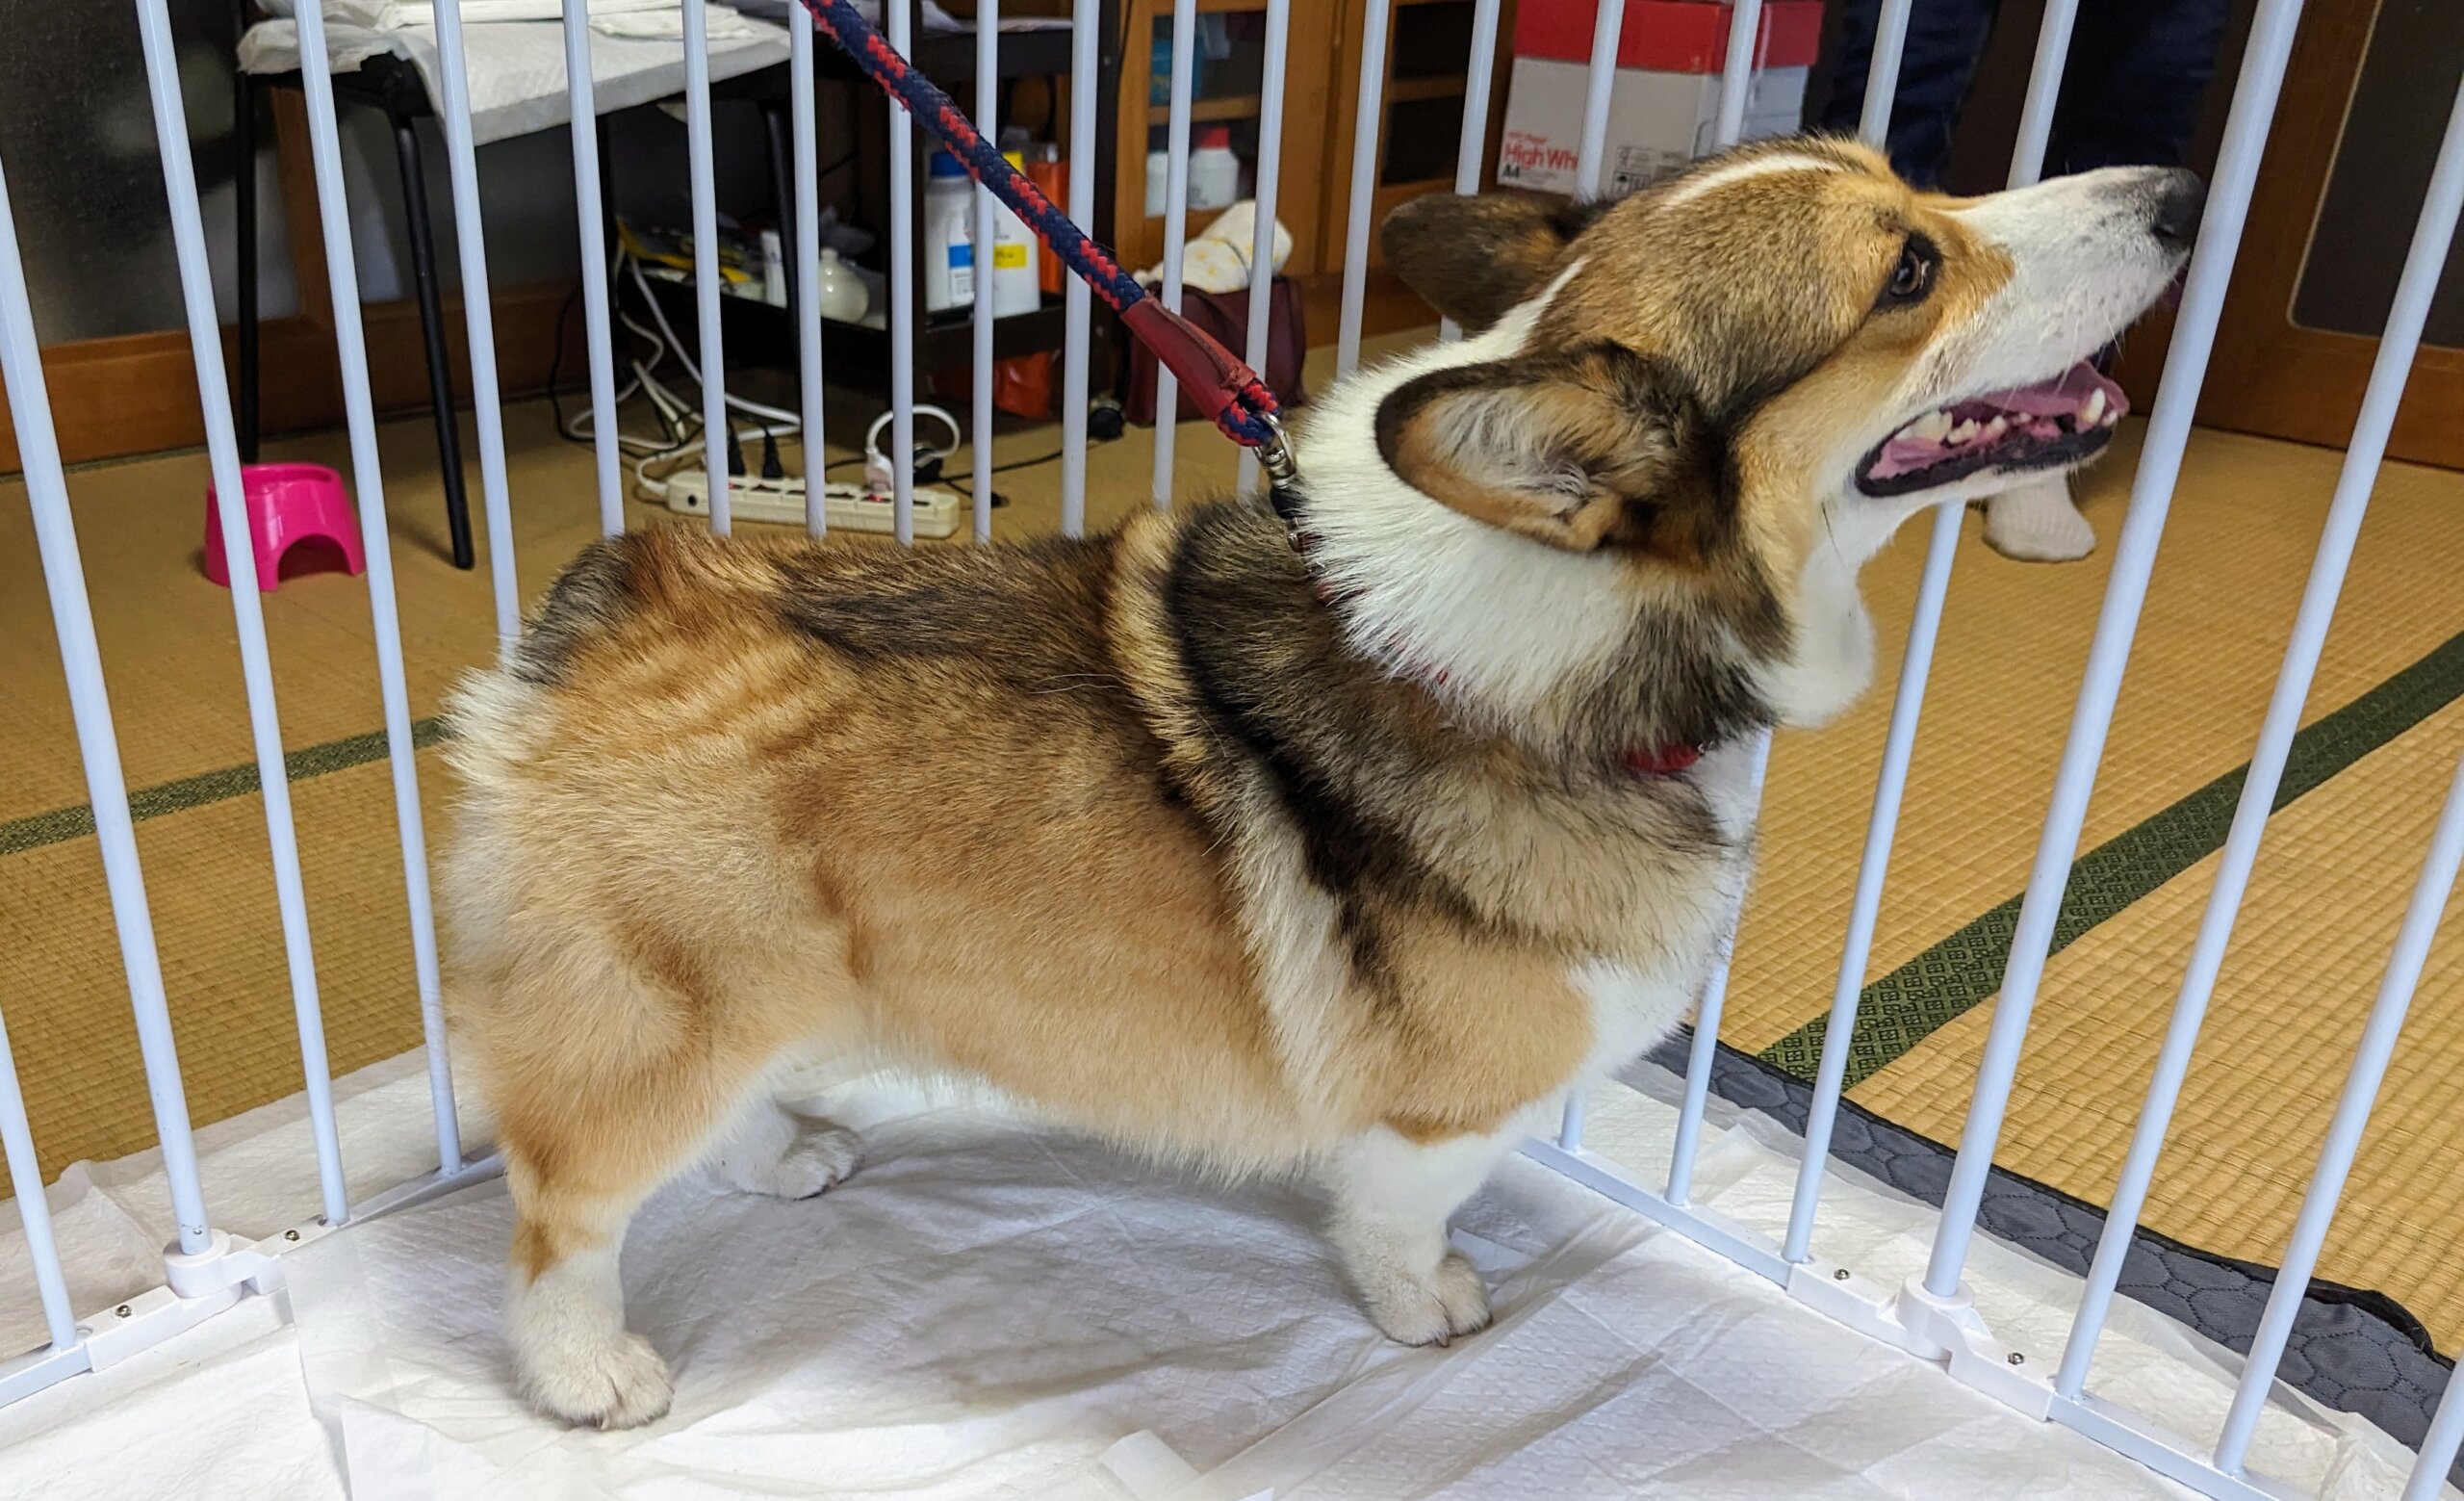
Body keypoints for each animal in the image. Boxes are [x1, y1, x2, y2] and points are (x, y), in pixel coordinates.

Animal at [440, 137, 2200, 1428]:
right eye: (1909, 268)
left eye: (1918, 186)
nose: (2179, 194)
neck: (1585, 637)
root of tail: (606, 606)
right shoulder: (1436, 1110)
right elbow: (1405, 1214)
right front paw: (1430, 1309)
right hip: (662, 1011)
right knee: (561, 1204)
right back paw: (588, 1368)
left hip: (750, 988)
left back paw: (777, 1155)